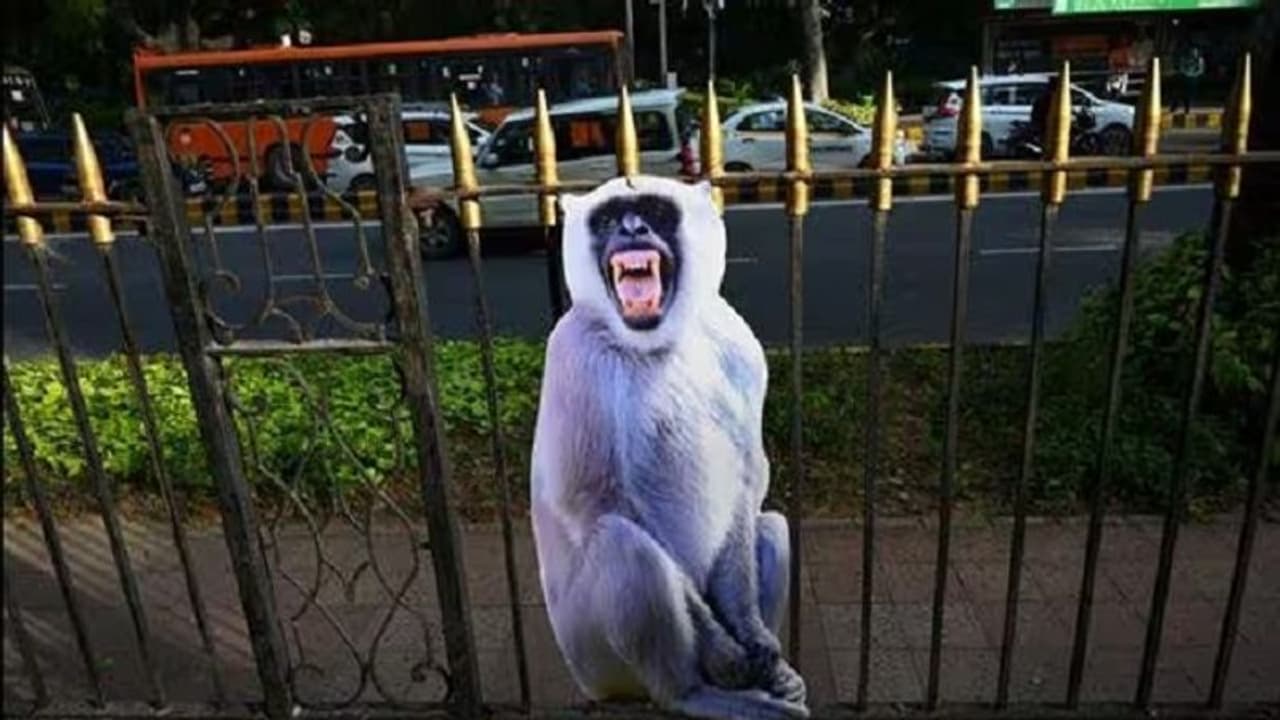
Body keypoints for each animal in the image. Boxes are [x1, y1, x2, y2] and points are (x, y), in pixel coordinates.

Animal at [529, 174, 808, 720]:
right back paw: (692, 691)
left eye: (655, 212)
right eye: (610, 219)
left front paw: (754, 638)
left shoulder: (738, 342)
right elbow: (593, 498)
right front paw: (725, 652)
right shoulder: (573, 350)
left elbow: (748, 479)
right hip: (592, 657)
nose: (633, 228)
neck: (655, 342)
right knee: (624, 545)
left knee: (771, 527)